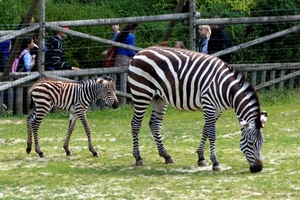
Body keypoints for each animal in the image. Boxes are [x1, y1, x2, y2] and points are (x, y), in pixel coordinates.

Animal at [127, 46, 268, 173]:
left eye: (263, 142)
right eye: (250, 143)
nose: (258, 168)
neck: (226, 89)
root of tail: (139, 53)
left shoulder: (218, 110)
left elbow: (205, 130)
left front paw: (201, 157)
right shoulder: (209, 105)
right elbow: (212, 133)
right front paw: (215, 163)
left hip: (159, 98)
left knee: (154, 124)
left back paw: (166, 156)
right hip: (141, 94)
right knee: (135, 124)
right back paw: (138, 157)